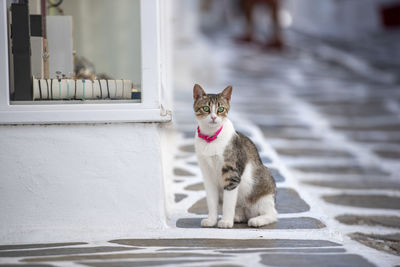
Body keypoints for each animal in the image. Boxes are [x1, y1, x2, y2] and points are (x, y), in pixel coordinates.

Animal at [193, 85, 276, 229]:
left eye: (221, 109)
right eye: (206, 108)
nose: (213, 117)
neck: (210, 139)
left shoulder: (231, 174)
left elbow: (228, 202)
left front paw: (226, 221)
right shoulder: (207, 175)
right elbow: (211, 201)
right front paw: (211, 220)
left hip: (264, 186)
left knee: (273, 214)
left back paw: (257, 220)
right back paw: (238, 216)